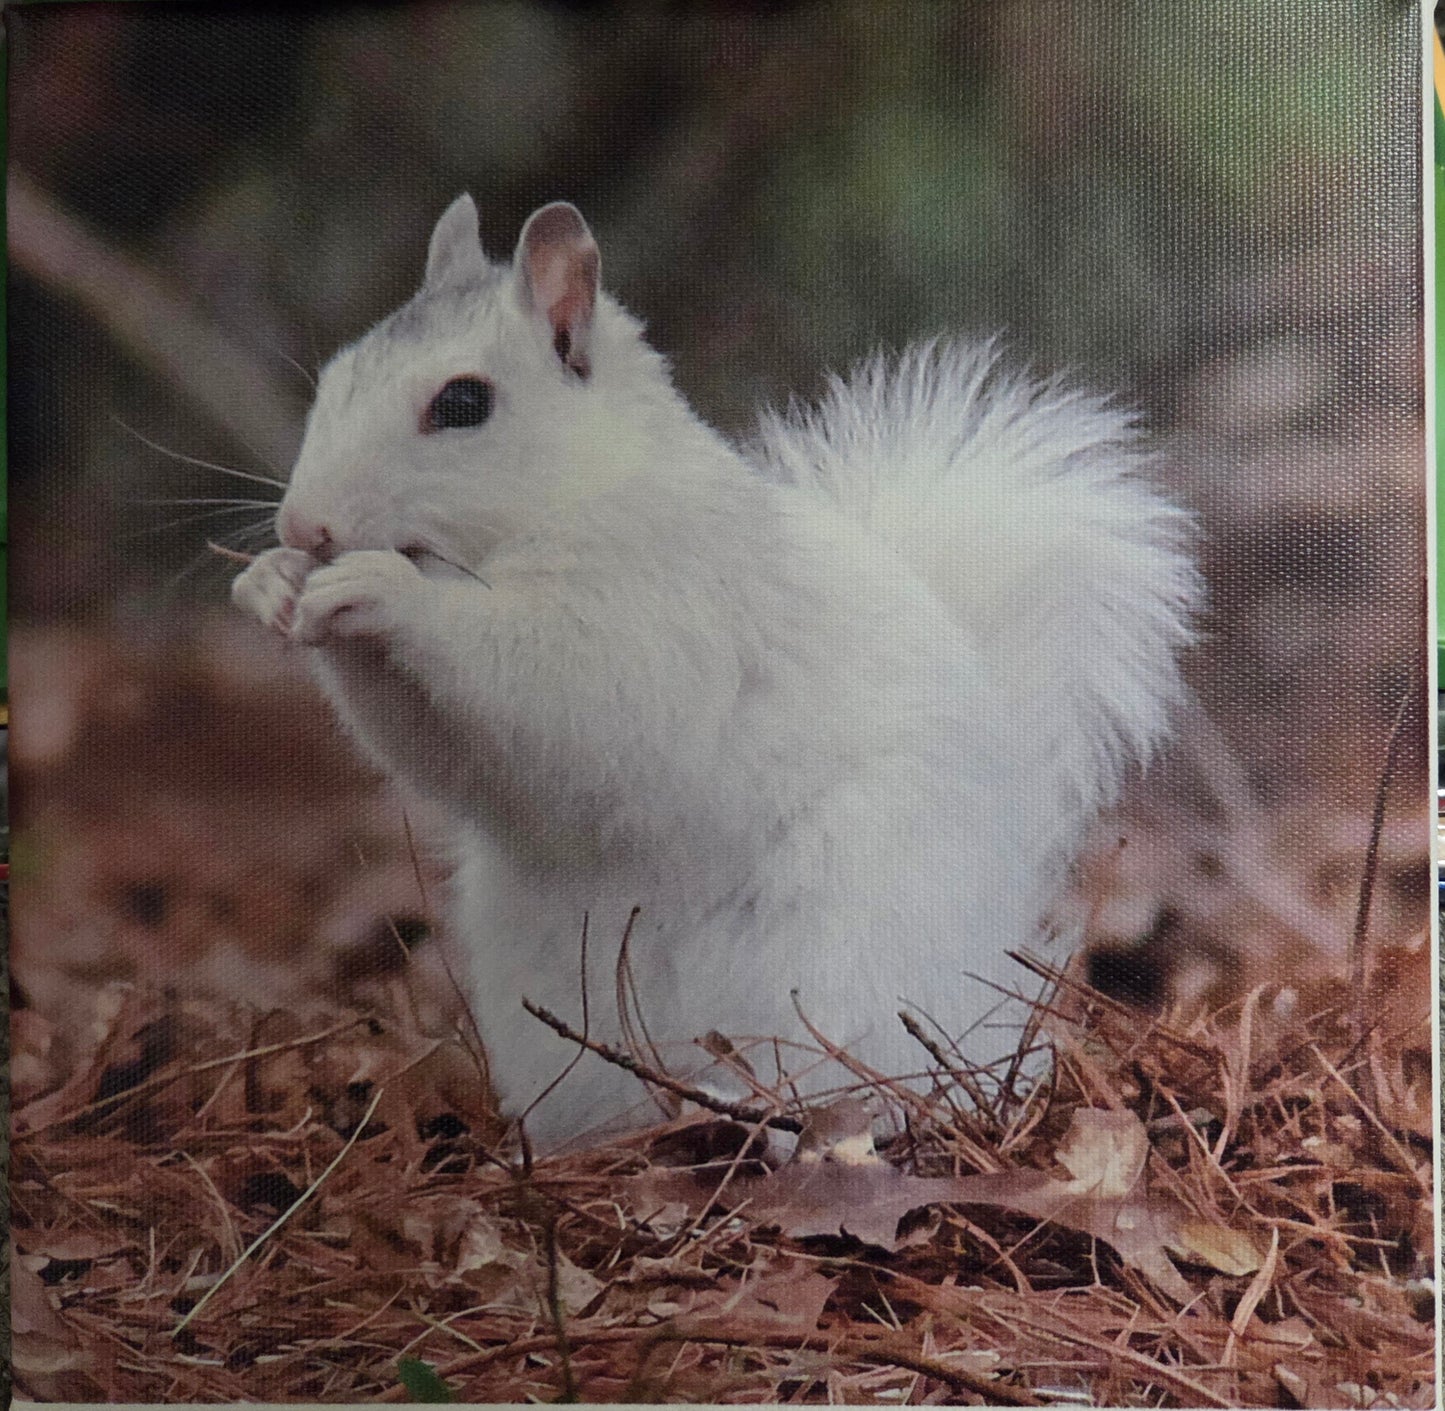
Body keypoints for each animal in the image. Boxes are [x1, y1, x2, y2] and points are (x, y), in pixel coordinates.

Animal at [232, 196, 1201, 1147]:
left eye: (463, 402)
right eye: (334, 377)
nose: (304, 526)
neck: (568, 497)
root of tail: (982, 986)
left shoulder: (664, 616)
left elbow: (552, 688)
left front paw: (382, 589)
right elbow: (438, 750)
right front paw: (271, 583)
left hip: (838, 962)